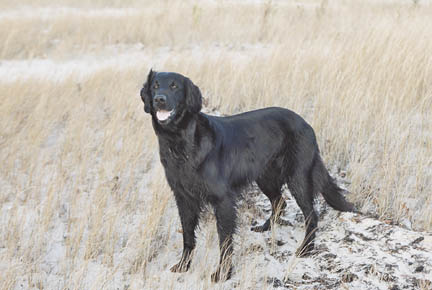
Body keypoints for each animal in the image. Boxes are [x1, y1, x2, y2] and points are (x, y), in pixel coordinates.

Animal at [141, 69, 354, 280]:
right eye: (155, 86)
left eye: (174, 86)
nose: (159, 99)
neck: (181, 143)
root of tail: (305, 123)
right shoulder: (183, 197)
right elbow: (187, 236)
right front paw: (184, 265)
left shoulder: (223, 200)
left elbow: (225, 241)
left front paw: (223, 273)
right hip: (265, 178)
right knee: (280, 202)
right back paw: (265, 227)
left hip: (298, 178)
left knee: (311, 215)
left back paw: (306, 248)